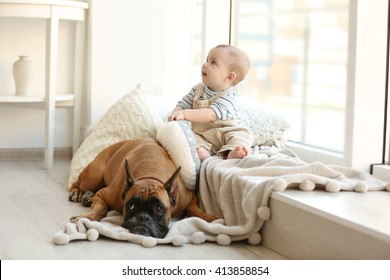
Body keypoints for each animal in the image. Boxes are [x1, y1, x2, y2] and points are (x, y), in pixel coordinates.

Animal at [70, 138, 216, 238]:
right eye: (131, 206)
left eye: (159, 208)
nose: (143, 217)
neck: (150, 176)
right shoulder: (103, 194)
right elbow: (101, 210)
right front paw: (87, 217)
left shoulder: (189, 197)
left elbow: (193, 209)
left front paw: (211, 219)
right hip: (94, 176)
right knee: (77, 182)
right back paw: (78, 192)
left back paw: (88, 196)